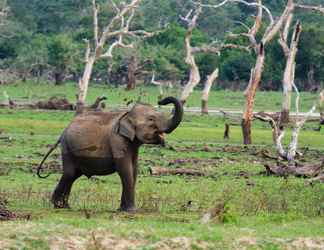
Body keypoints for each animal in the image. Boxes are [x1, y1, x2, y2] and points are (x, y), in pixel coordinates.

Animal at [36, 96, 184, 212]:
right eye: (151, 120)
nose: (161, 100)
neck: (127, 114)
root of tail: (63, 132)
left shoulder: (132, 145)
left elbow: (133, 170)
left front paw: (122, 210)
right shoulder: (117, 140)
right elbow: (125, 170)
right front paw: (131, 211)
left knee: (73, 175)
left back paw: (64, 206)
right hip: (67, 147)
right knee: (69, 173)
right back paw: (58, 206)